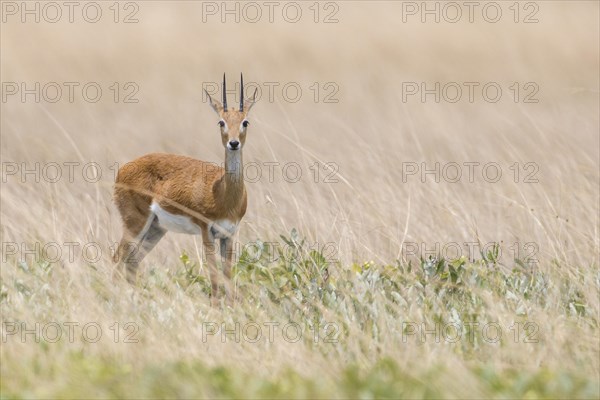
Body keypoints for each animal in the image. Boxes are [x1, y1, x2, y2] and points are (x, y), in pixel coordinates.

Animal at [112, 74, 255, 300]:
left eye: (245, 121)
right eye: (221, 121)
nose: (233, 143)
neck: (222, 193)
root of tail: (123, 169)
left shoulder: (229, 235)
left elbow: (227, 277)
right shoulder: (207, 231)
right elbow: (214, 277)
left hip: (156, 228)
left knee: (132, 263)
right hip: (135, 223)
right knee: (117, 259)